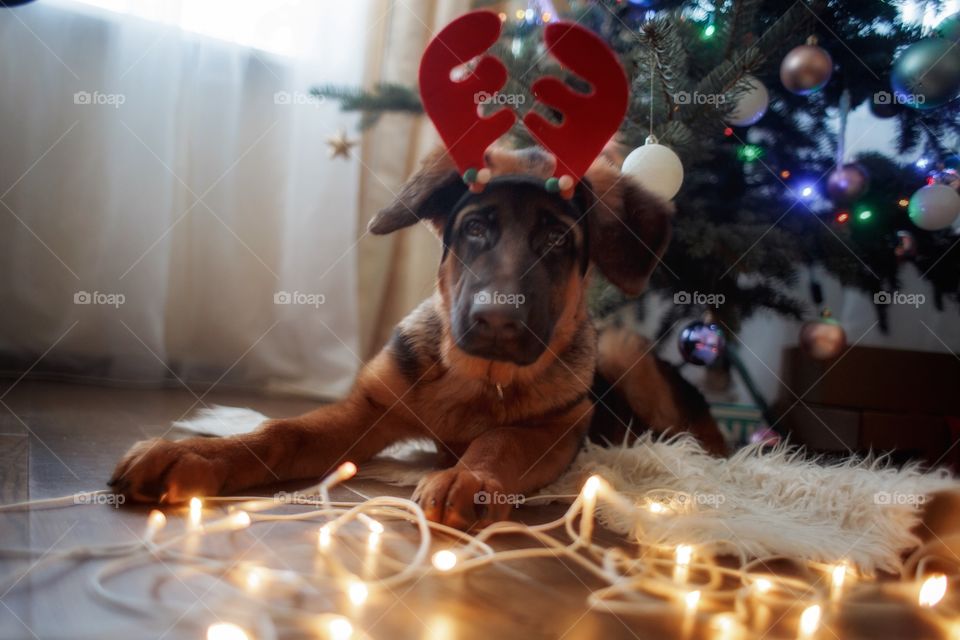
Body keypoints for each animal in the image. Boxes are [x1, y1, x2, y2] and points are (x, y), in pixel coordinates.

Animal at [109, 146, 724, 528]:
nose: (497, 321)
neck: (481, 380)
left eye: (556, 241)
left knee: (702, 433)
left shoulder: (554, 429)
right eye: (475, 228)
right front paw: (194, 452)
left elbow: (500, 440)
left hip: (628, 355)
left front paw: (468, 477)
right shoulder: (366, 410)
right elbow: (279, 432)